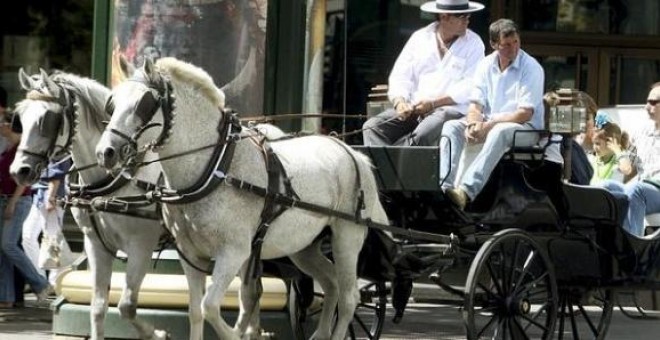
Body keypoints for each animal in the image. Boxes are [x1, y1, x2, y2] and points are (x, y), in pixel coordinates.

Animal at [10, 69, 170, 340]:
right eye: (20, 116)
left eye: (46, 119)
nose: (19, 171)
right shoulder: (96, 244)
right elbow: (98, 307)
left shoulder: (141, 244)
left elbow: (126, 305)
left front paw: (156, 333)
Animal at [95, 57, 390, 338]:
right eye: (112, 104)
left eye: (143, 104)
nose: (105, 152)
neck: (214, 166)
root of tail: (353, 153)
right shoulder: (190, 254)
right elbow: (196, 311)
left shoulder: (234, 252)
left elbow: (211, 306)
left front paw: (240, 332)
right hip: (303, 247)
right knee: (331, 284)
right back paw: (320, 333)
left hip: (347, 236)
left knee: (350, 297)